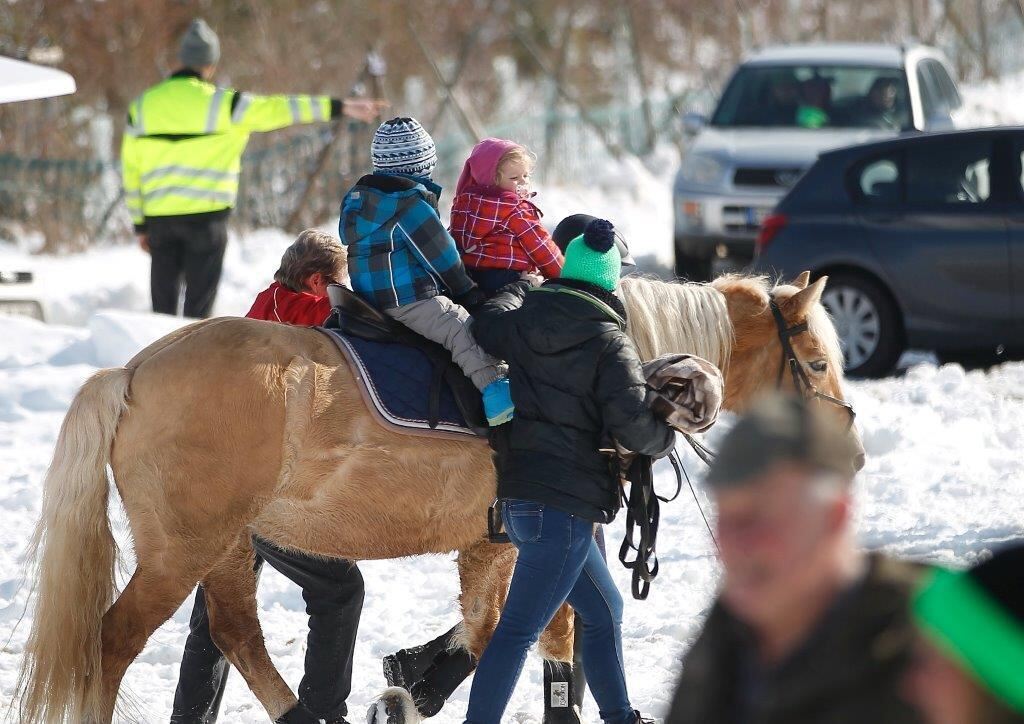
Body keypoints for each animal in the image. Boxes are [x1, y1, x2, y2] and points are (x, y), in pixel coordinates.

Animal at [18, 268, 864, 720]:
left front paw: (412, 679)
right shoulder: (525, 541)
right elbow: (525, 639)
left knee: (233, 636)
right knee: (111, 642)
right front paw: (423, 684)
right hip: (181, 551)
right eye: (819, 362)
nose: (851, 455)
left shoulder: (507, 544)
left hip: (225, 546)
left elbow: (509, 634)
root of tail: (132, 372)